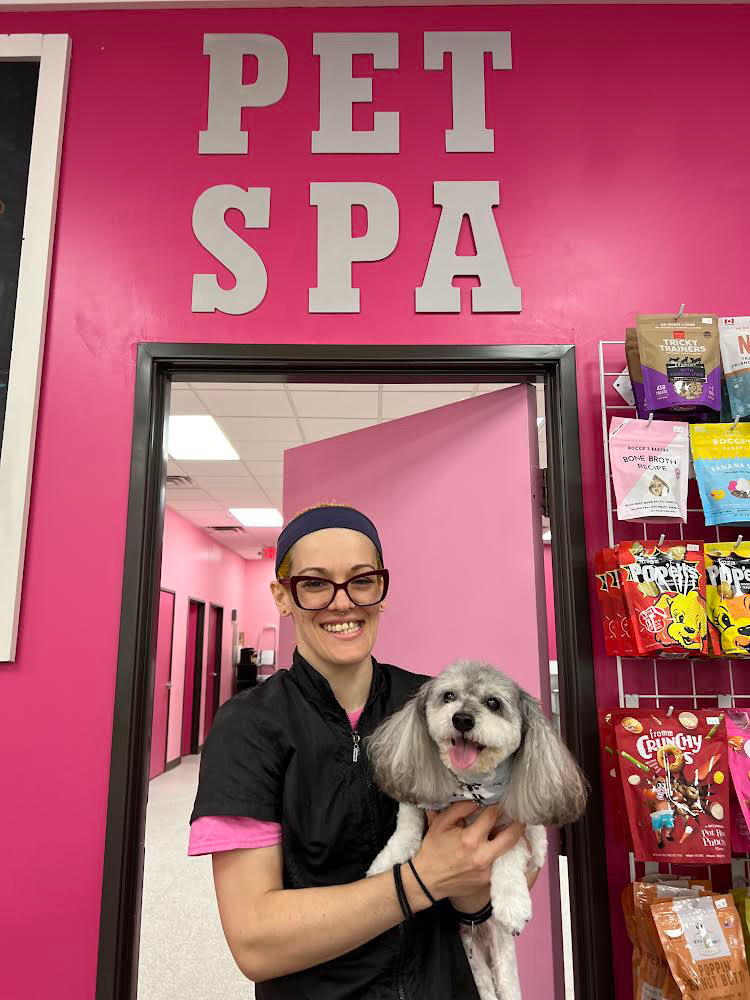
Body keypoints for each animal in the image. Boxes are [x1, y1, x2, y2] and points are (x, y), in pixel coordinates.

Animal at [368, 660, 592, 996]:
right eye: (448, 696)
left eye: (493, 703)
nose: (462, 718)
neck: (471, 785)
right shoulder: (419, 797)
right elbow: (407, 826)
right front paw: (386, 861)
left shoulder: (528, 837)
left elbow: (509, 853)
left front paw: (512, 902)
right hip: (475, 965)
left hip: (503, 962)